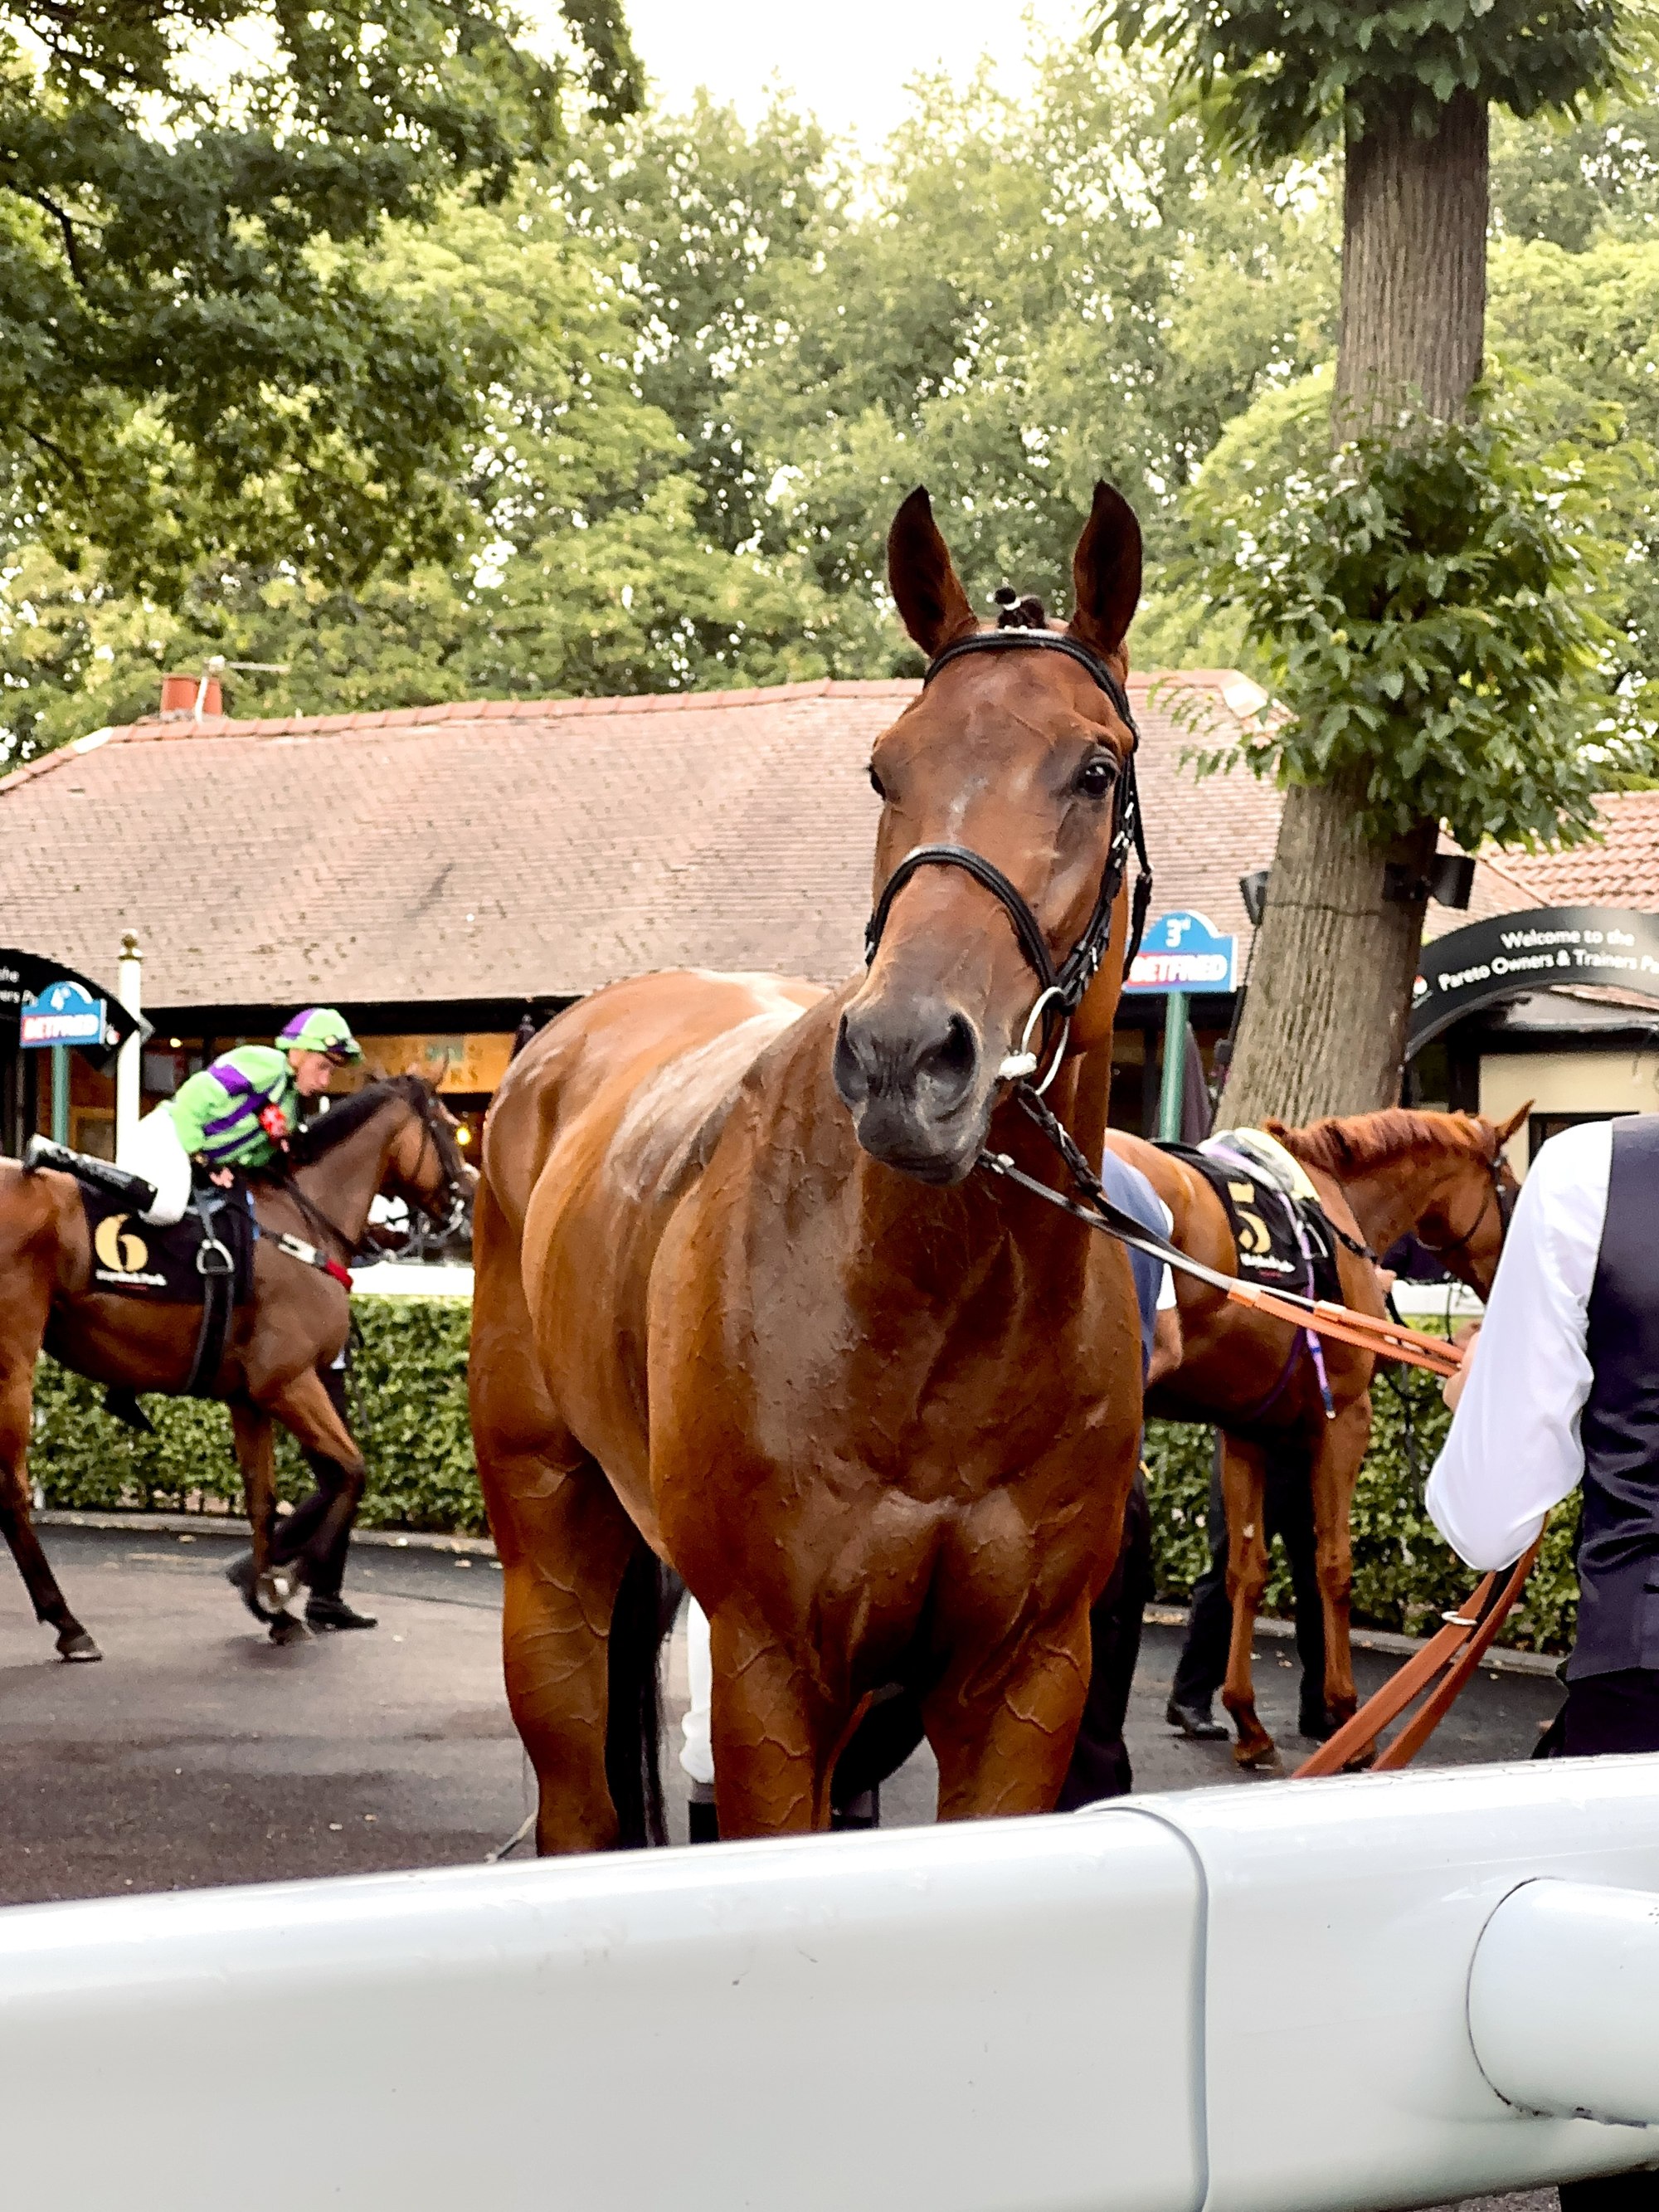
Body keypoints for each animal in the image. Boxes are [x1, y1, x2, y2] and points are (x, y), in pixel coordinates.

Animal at [0, 1076, 472, 1655]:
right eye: (451, 1127)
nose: (470, 1197)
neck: (297, 1225)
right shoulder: (288, 1383)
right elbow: (352, 1472)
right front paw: (283, 1585)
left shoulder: (248, 1398)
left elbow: (263, 1500)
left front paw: (274, 1606)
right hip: (14, 1356)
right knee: (12, 1488)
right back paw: (69, 1624)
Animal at [472, 481, 1154, 1850]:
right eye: (887, 766)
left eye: (1095, 770)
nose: (904, 1055)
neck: (940, 1318)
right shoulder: (770, 1673)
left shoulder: (1026, 1680)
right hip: (550, 1558)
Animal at [1106, 1104, 1524, 1764]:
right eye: (1509, 1186)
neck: (1333, 1206)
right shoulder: (1344, 1420)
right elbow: (1333, 1565)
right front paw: (1350, 1719)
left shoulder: (1248, 1429)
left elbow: (1247, 1569)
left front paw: (1247, 1719)